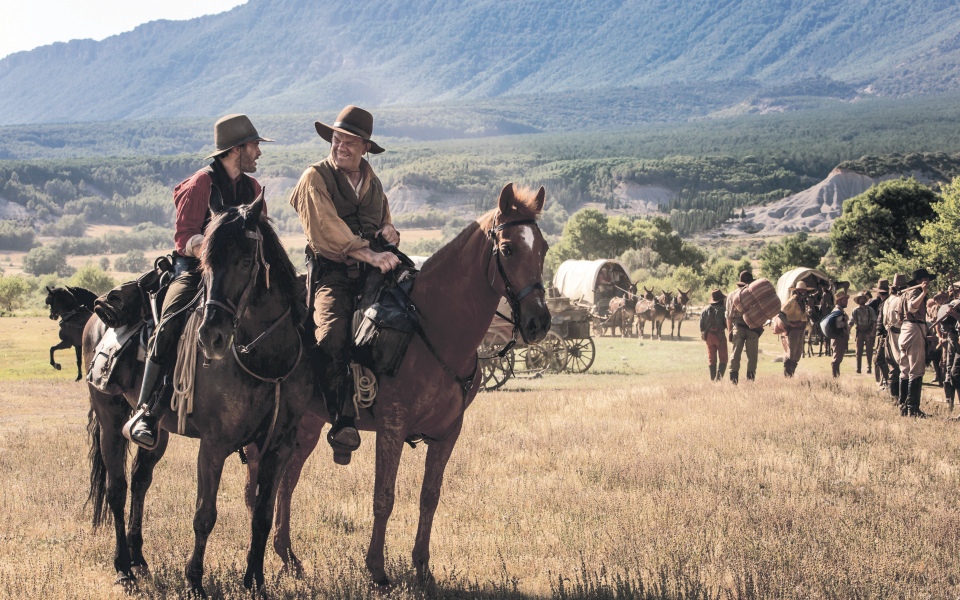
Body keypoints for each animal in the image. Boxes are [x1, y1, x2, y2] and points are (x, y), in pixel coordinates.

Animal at [85, 196, 312, 596]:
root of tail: (96, 318)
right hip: (109, 419)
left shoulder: (278, 445)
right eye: (206, 263)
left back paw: (139, 559)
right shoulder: (214, 445)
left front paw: (255, 582)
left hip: (155, 432)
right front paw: (194, 582)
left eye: (245, 261)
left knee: (140, 480)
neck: (265, 359)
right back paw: (124, 568)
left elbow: (263, 516)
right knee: (117, 489)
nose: (211, 336)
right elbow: (205, 515)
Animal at [244, 183, 552, 584]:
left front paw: (422, 568)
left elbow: (429, 497)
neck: (433, 326)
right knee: (260, 479)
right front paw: (377, 569)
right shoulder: (392, 426)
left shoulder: (448, 432)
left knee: (286, 479)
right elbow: (384, 497)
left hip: (307, 424)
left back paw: (289, 558)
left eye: (543, 247)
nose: (538, 322)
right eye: (508, 248)